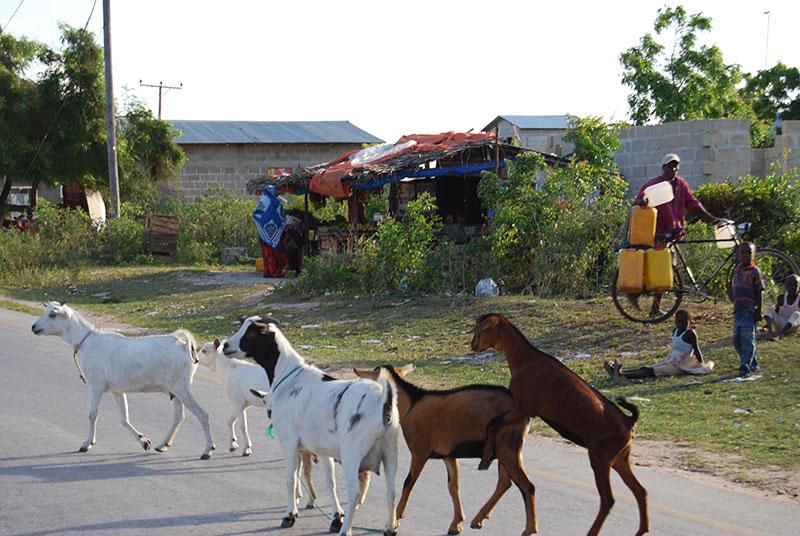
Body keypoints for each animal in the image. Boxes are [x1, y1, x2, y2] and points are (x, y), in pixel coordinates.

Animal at [31, 304, 216, 458]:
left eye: (52, 314)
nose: (34, 327)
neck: (86, 341)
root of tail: (185, 345)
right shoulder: (117, 390)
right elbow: (124, 418)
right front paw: (144, 441)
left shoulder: (96, 386)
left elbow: (93, 414)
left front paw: (87, 444)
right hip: (175, 390)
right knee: (179, 416)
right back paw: (163, 444)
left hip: (181, 387)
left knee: (203, 414)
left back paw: (207, 450)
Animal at [225, 314, 400, 536]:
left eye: (251, 333)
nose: (226, 346)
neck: (289, 378)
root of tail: (384, 399)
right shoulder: (322, 448)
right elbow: (329, 481)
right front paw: (336, 517)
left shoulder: (289, 441)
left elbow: (291, 478)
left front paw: (289, 515)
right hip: (390, 451)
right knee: (392, 490)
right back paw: (389, 528)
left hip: (352, 453)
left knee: (354, 491)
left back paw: (346, 530)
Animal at [354, 362, 536, 532]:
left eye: (374, 376)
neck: (411, 404)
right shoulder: (449, 455)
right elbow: (453, 486)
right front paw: (456, 524)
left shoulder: (420, 452)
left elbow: (409, 482)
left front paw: (395, 519)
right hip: (506, 450)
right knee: (505, 482)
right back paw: (478, 519)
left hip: (508, 449)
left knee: (527, 486)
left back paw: (529, 529)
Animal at [472, 312, 648, 536]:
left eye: (481, 330)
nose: (473, 345)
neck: (526, 359)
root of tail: (628, 421)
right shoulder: (521, 411)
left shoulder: (523, 409)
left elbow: (492, 423)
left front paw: (485, 460)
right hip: (620, 458)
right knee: (640, 491)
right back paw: (642, 529)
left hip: (600, 457)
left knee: (608, 499)